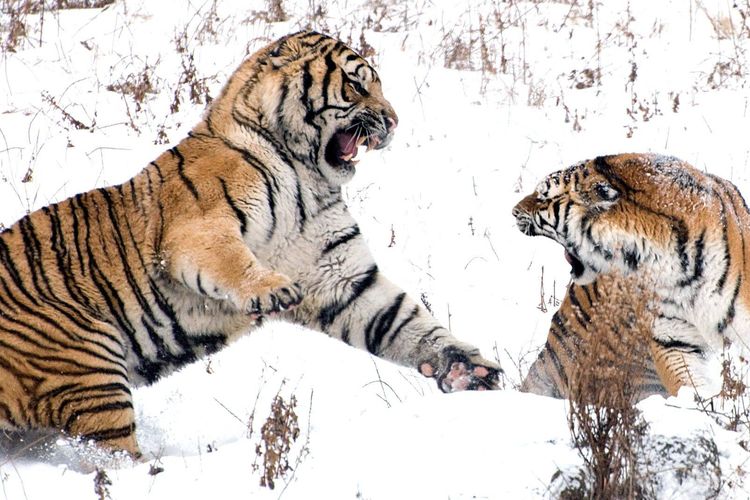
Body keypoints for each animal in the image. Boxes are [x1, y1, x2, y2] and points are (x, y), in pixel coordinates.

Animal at [0, 31, 500, 461]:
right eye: (357, 86)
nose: (394, 122)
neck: (309, 178)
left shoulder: (339, 277)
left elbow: (406, 321)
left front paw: (466, 368)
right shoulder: (199, 228)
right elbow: (231, 261)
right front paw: (272, 289)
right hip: (86, 358)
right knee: (112, 457)